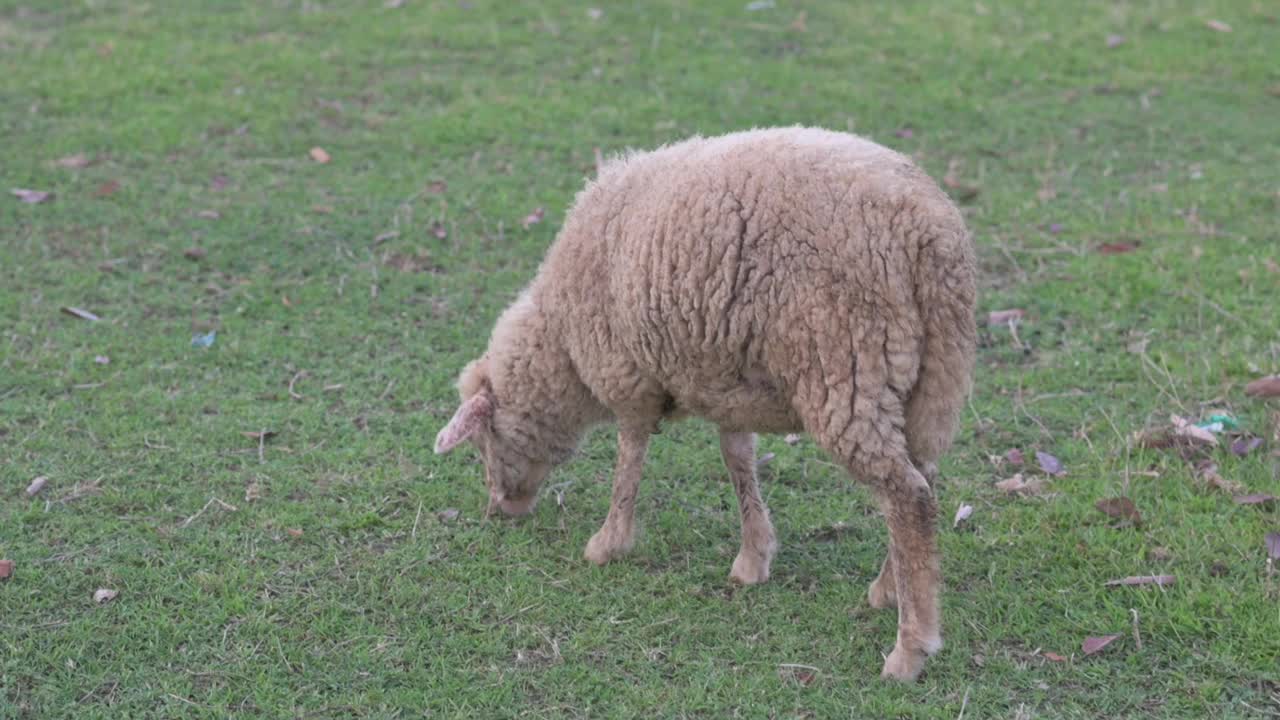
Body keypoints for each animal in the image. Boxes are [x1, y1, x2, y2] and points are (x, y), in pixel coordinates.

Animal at [435, 126, 972, 681]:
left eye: (483, 440)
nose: (500, 507)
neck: (561, 344)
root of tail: (929, 231)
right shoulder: (727, 385)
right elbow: (738, 461)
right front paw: (754, 557)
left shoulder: (627, 376)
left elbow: (629, 460)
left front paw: (608, 543)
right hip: (930, 380)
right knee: (922, 481)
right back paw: (889, 589)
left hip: (847, 366)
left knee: (907, 496)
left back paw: (910, 648)